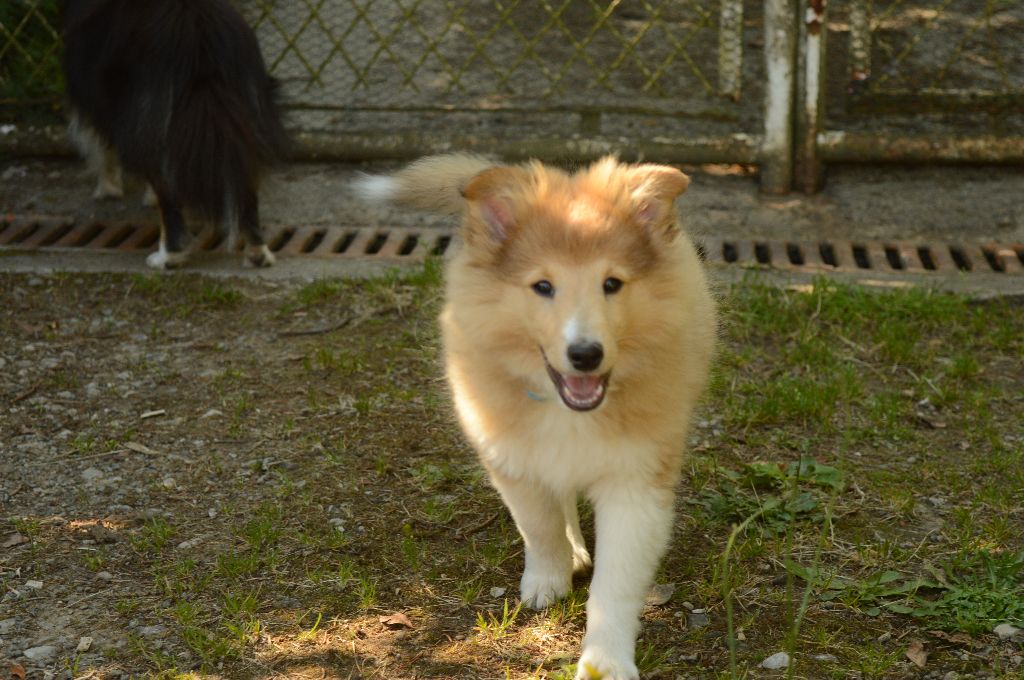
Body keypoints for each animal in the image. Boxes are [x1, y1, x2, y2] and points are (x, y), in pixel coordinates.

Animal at [62, 0, 288, 269]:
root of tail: (196, 30)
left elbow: (100, 147)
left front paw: (108, 189)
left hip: (145, 117)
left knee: (165, 187)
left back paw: (168, 256)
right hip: (249, 109)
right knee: (247, 179)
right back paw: (257, 253)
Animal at [356, 154, 717, 679]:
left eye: (612, 284)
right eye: (543, 286)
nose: (586, 354)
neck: (571, 411)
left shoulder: (636, 482)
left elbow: (616, 584)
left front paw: (605, 662)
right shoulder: (513, 459)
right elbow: (540, 525)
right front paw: (548, 580)